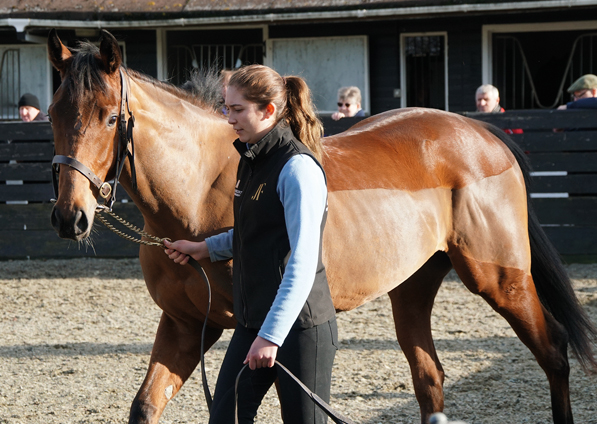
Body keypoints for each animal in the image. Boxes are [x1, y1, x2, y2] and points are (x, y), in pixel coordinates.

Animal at [46, 29, 596, 424]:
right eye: (53, 113)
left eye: (110, 117)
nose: (69, 217)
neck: (199, 191)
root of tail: (480, 132)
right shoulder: (184, 325)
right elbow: (145, 406)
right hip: (412, 287)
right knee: (430, 379)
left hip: (500, 279)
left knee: (554, 354)